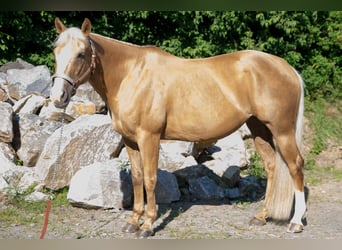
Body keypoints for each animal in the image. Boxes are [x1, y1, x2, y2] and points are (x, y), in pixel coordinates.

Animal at [51, 18, 308, 238]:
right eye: (56, 52)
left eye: (81, 54)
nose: (58, 97)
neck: (131, 75)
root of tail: (288, 68)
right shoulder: (131, 140)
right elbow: (137, 178)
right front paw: (133, 222)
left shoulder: (149, 137)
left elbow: (150, 178)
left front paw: (147, 225)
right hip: (258, 127)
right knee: (272, 166)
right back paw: (261, 216)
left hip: (281, 130)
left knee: (295, 166)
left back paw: (296, 223)